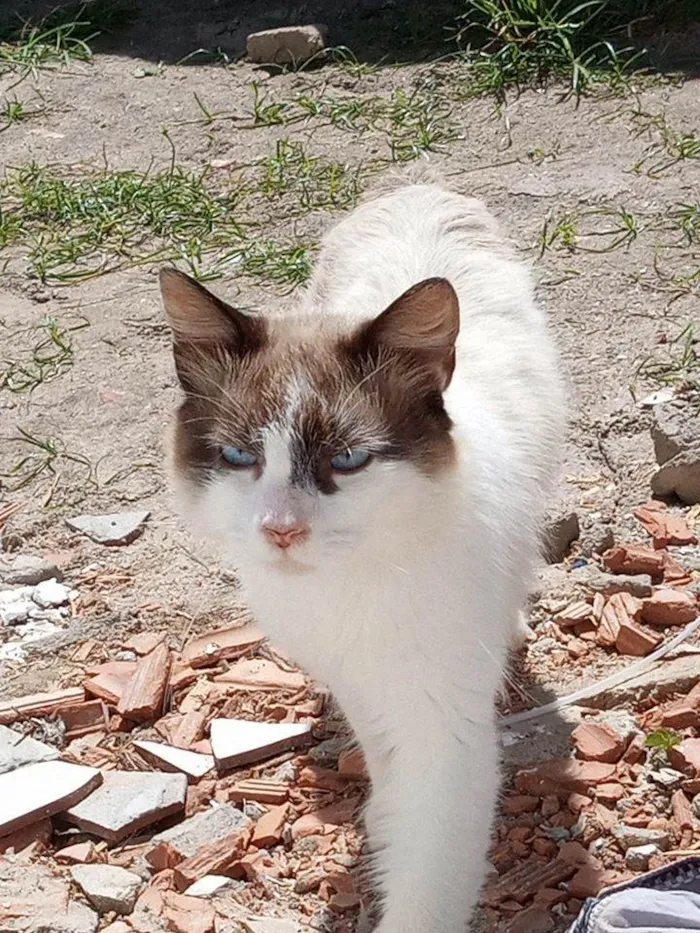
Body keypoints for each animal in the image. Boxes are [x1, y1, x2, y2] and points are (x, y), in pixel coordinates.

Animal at [159, 177, 564, 932]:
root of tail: (418, 184)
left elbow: (428, 870)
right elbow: (382, 757)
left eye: (347, 460)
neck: (350, 585)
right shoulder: (355, 677)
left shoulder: (442, 724)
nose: (281, 529)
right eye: (239, 458)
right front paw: (383, 819)